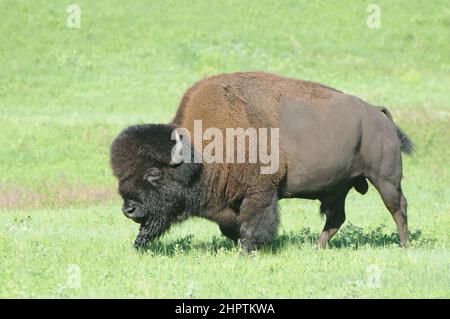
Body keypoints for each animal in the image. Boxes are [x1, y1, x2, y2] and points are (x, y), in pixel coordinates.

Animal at [110, 72, 414, 252]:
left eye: (153, 174)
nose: (129, 209)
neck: (200, 154)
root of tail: (376, 112)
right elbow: (230, 226)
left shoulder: (260, 194)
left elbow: (250, 225)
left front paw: (247, 250)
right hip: (339, 187)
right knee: (336, 217)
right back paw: (317, 248)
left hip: (386, 179)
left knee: (398, 208)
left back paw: (404, 245)